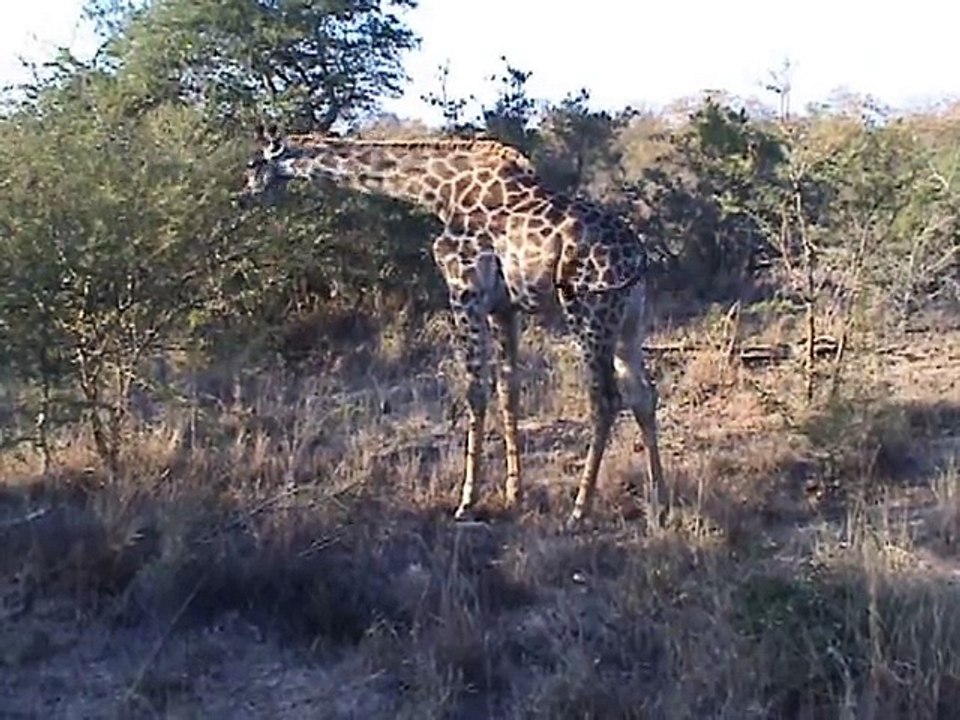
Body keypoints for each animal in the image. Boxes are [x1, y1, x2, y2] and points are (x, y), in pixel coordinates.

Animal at [237, 123, 667, 528]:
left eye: (254, 162)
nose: (246, 193)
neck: (438, 191)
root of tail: (638, 256)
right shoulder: (502, 307)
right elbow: (508, 389)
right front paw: (513, 492)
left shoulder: (464, 290)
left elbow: (474, 391)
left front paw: (466, 502)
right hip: (629, 321)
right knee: (642, 395)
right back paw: (660, 502)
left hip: (588, 311)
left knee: (605, 399)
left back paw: (580, 510)